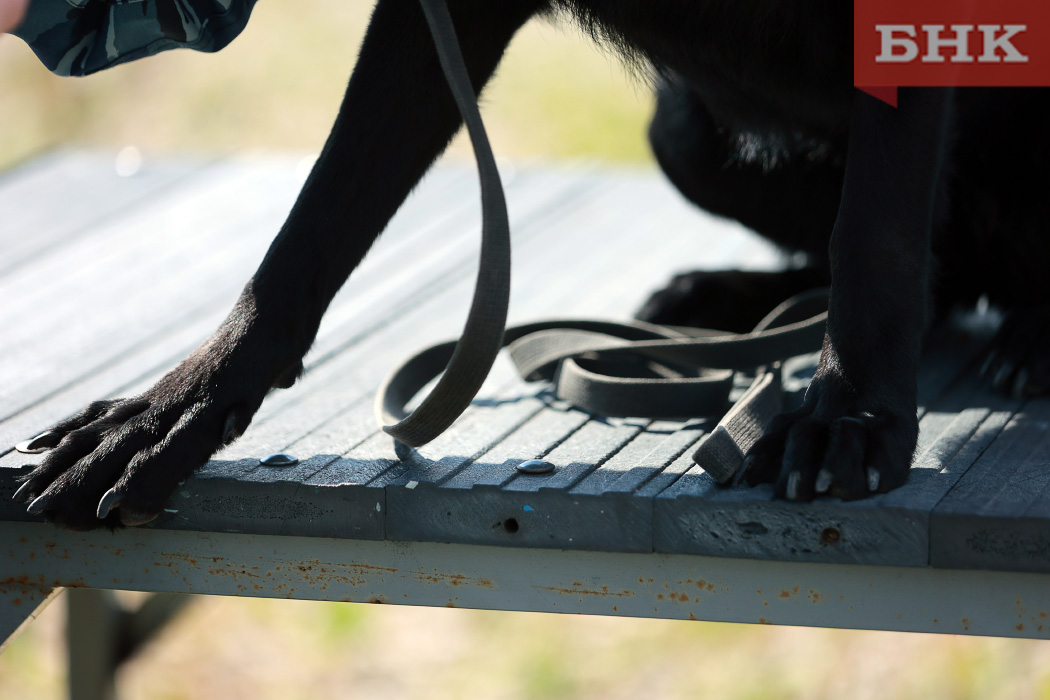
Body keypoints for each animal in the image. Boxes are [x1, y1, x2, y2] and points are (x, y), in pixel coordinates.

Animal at [14, 0, 1050, 524]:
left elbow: (875, 235)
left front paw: (852, 419)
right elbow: (313, 226)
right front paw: (177, 408)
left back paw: (1030, 344)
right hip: (684, 128)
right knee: (949, 274)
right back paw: (728, 297)